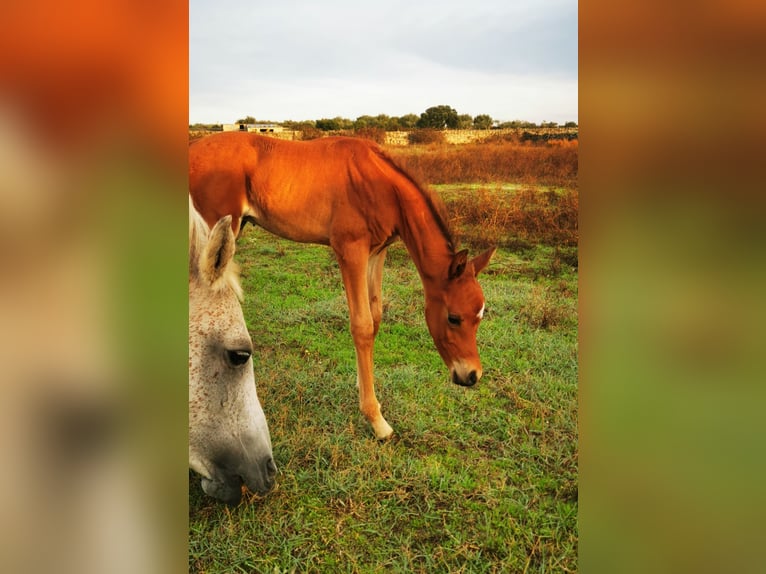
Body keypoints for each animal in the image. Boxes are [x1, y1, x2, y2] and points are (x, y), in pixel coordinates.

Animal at [189, 134, 496, 440]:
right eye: (453, 318)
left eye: (480, 316)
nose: (471, 376)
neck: (382, 186)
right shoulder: (350, 250)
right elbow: (362, 325)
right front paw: (376, 419)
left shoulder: (377, 252)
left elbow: (375, 316)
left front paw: (366, 391)